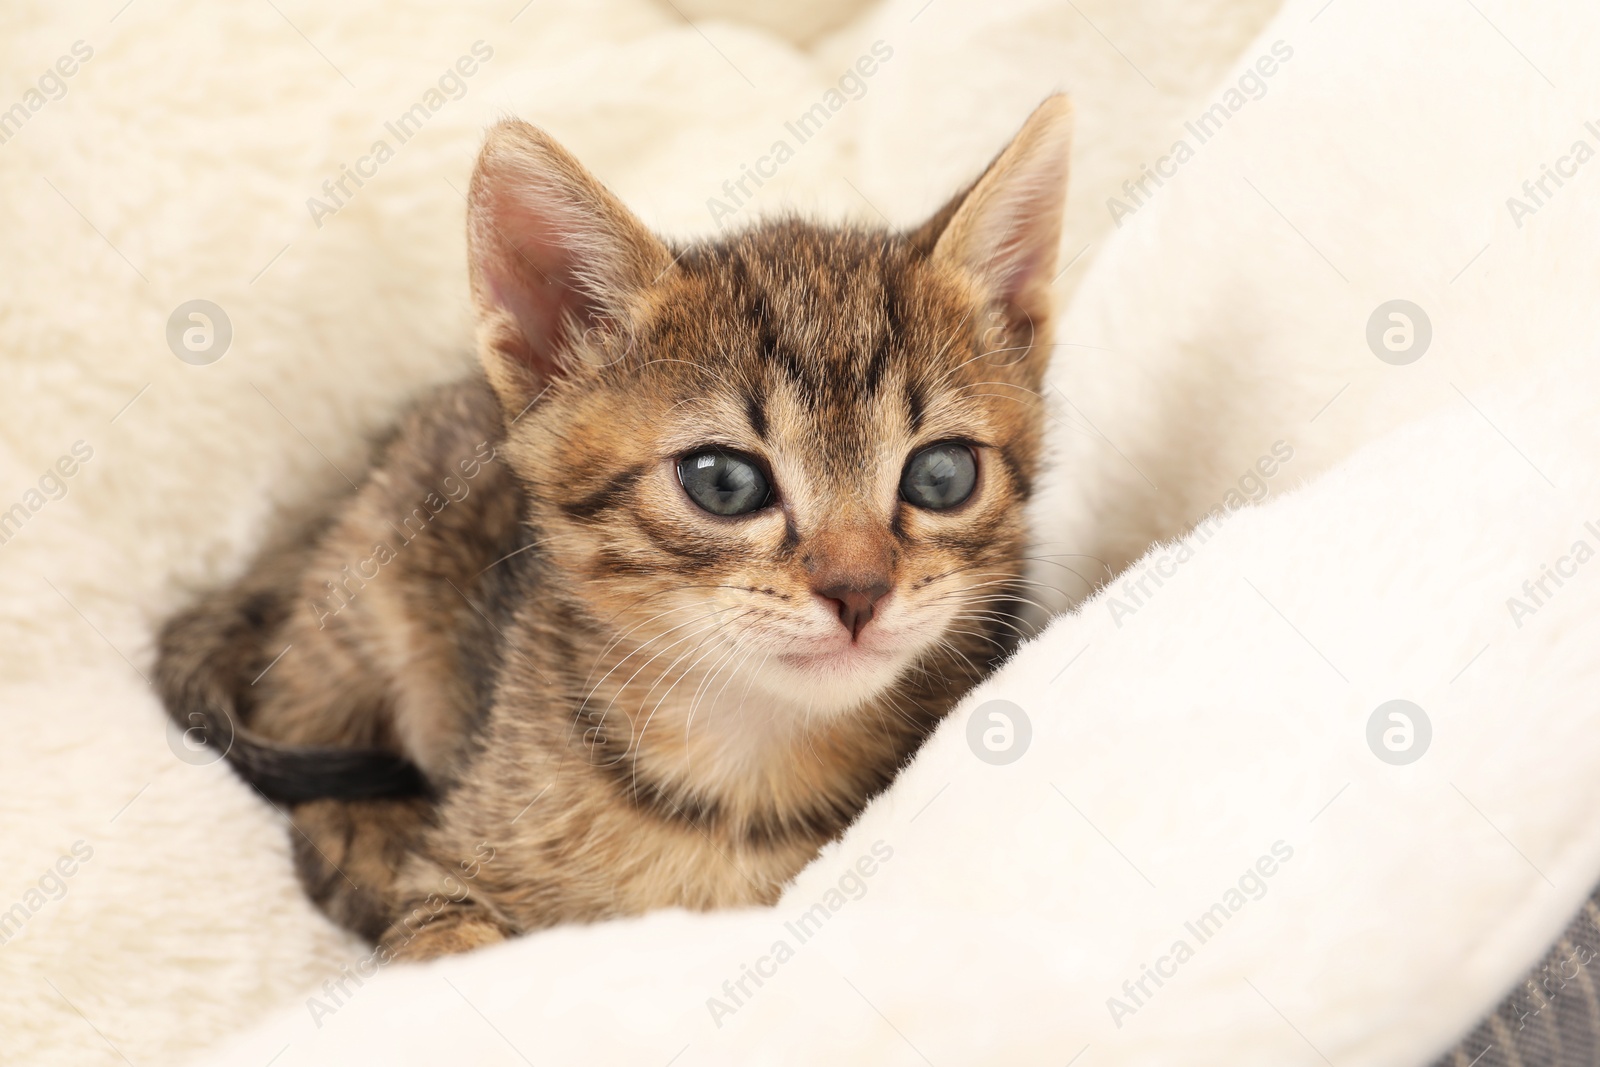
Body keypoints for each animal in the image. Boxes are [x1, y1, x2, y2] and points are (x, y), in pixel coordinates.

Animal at [156, 95, 1075, 959]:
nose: (860, 591)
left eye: (941, 475)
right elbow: (440, 951)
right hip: (362, 595)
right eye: (724, 481)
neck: (747, 769)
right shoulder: (455, 872)